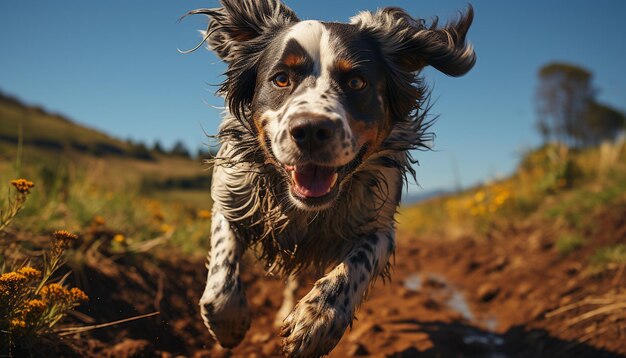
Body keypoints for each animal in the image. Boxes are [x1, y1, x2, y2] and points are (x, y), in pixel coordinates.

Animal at [185, 1, 472, 356]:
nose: (310, 130)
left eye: (357, 83)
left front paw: (317, 322)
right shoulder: (232, 199)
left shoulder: (378, 225)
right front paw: (229, 323)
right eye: (281, 79)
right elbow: (221, 275)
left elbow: (355, 266)